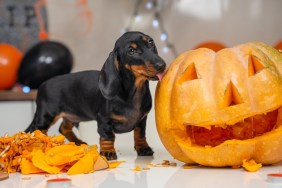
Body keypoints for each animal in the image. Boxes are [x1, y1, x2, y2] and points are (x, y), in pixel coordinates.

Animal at [24, 31, 165, 159]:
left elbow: (140, 134)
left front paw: (143, 148)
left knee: (63, 128)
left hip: (72, 116)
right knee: (36, 130)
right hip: (46, 116)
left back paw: (78, 142)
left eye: (150, 42)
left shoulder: (142, 120)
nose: (161, 65)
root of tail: (42, 84)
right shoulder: (104, 120)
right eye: (131, 51)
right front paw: (108, 152)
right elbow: (108, 136)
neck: (134, 92)